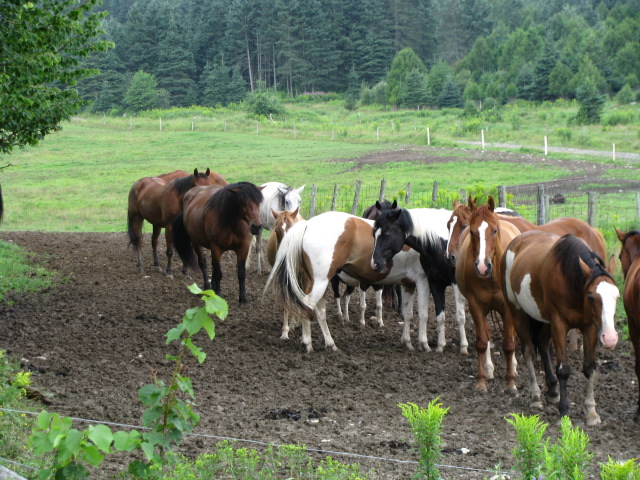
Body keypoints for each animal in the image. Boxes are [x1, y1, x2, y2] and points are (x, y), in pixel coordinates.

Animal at [264, 211, 431, 352]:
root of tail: (308, 224)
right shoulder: (423, 281)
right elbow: (424, 314)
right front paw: (425, 344)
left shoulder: (408, 284)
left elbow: (408, 314)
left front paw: (407, 342)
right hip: (320, 281)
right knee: (308, 305)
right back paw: (308, 343)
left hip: (318, 282)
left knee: (319, 311)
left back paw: (330, 343)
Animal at [370, 207, 469, 354]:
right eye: (374, 234)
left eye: (387, 235)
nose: (375, 263)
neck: (441, 245)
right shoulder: (435, 283)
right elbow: (439, 316)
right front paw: (440, 346)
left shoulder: (454, 283)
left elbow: (460, 316)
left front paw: (463, 347)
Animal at [454, 196, 521, 391]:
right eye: (472, 231)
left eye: (494, 230)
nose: (483, 267)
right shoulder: (476, 306)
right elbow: (482, 342)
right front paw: (481, 380)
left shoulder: (507, 309)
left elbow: (508, 344)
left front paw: (510, 383)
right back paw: (490, 370)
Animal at [502, 232, 619, 425]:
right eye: (591, 297)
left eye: (617, 296)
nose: (610, 338)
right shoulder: (559, 324)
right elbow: (563, 370)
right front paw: (564, 412)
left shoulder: (589, 327)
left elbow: (589, 367)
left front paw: (591, 411)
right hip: (517, 312)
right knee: (529, 351)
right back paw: (536, 396)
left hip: (544, 318)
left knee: (542, 344)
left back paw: (552, 391)